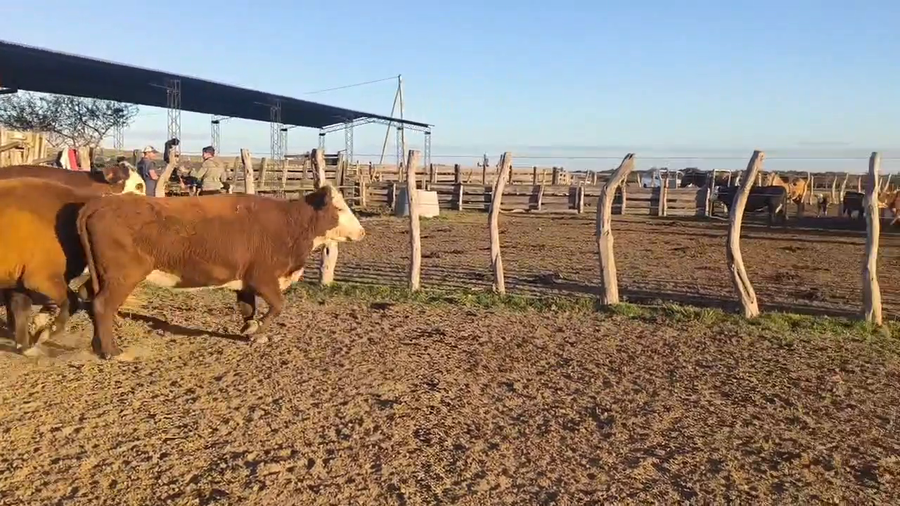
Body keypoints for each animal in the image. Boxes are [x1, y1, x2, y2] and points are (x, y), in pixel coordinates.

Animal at [0, 178, 110, 352]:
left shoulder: (19, 280)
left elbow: (21, 307)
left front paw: (24, 345)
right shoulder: (43, 278)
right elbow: (71, 302)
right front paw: (46, 333)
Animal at [77, 185, 366, 358]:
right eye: (340, 208)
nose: (363, 232)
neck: (290, 223)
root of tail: (102, 203)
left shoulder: (246, 282)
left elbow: (248, 308)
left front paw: (250, 329)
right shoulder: (263, 279)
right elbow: (277, 306)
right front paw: (257, 334)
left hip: (102, 276)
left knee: (89, 298)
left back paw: (97, 343)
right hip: (122, 277)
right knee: (102, 305)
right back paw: (111, 350)